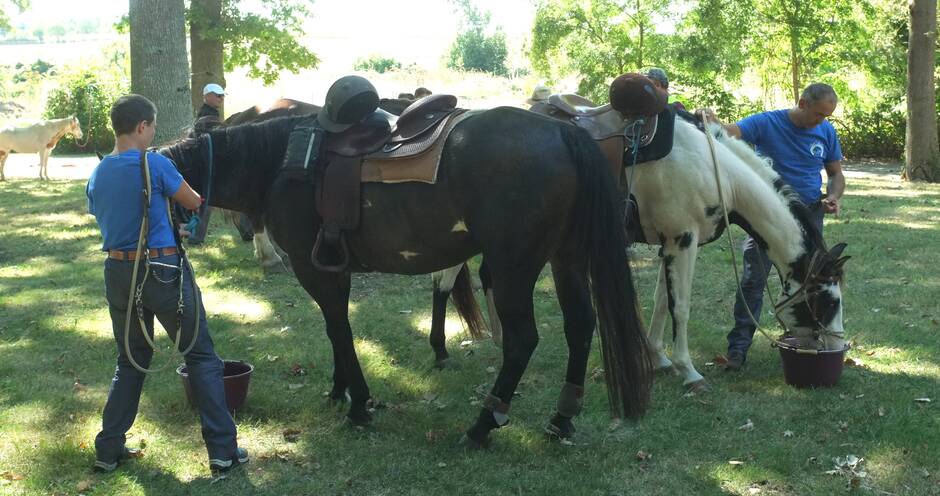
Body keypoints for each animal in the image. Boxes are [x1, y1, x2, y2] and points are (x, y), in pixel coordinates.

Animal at [160, 107, 652, 446]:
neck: (281, 164)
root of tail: (563, 131)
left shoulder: (313, 267)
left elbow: (340, 330)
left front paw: (358, 404)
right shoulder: (332, 270)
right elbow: (336, 330)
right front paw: (339, 389)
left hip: (513, 268)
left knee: (522, 341)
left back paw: (483, 425)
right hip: (565, 259)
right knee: (580, 326)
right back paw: (561, 419)